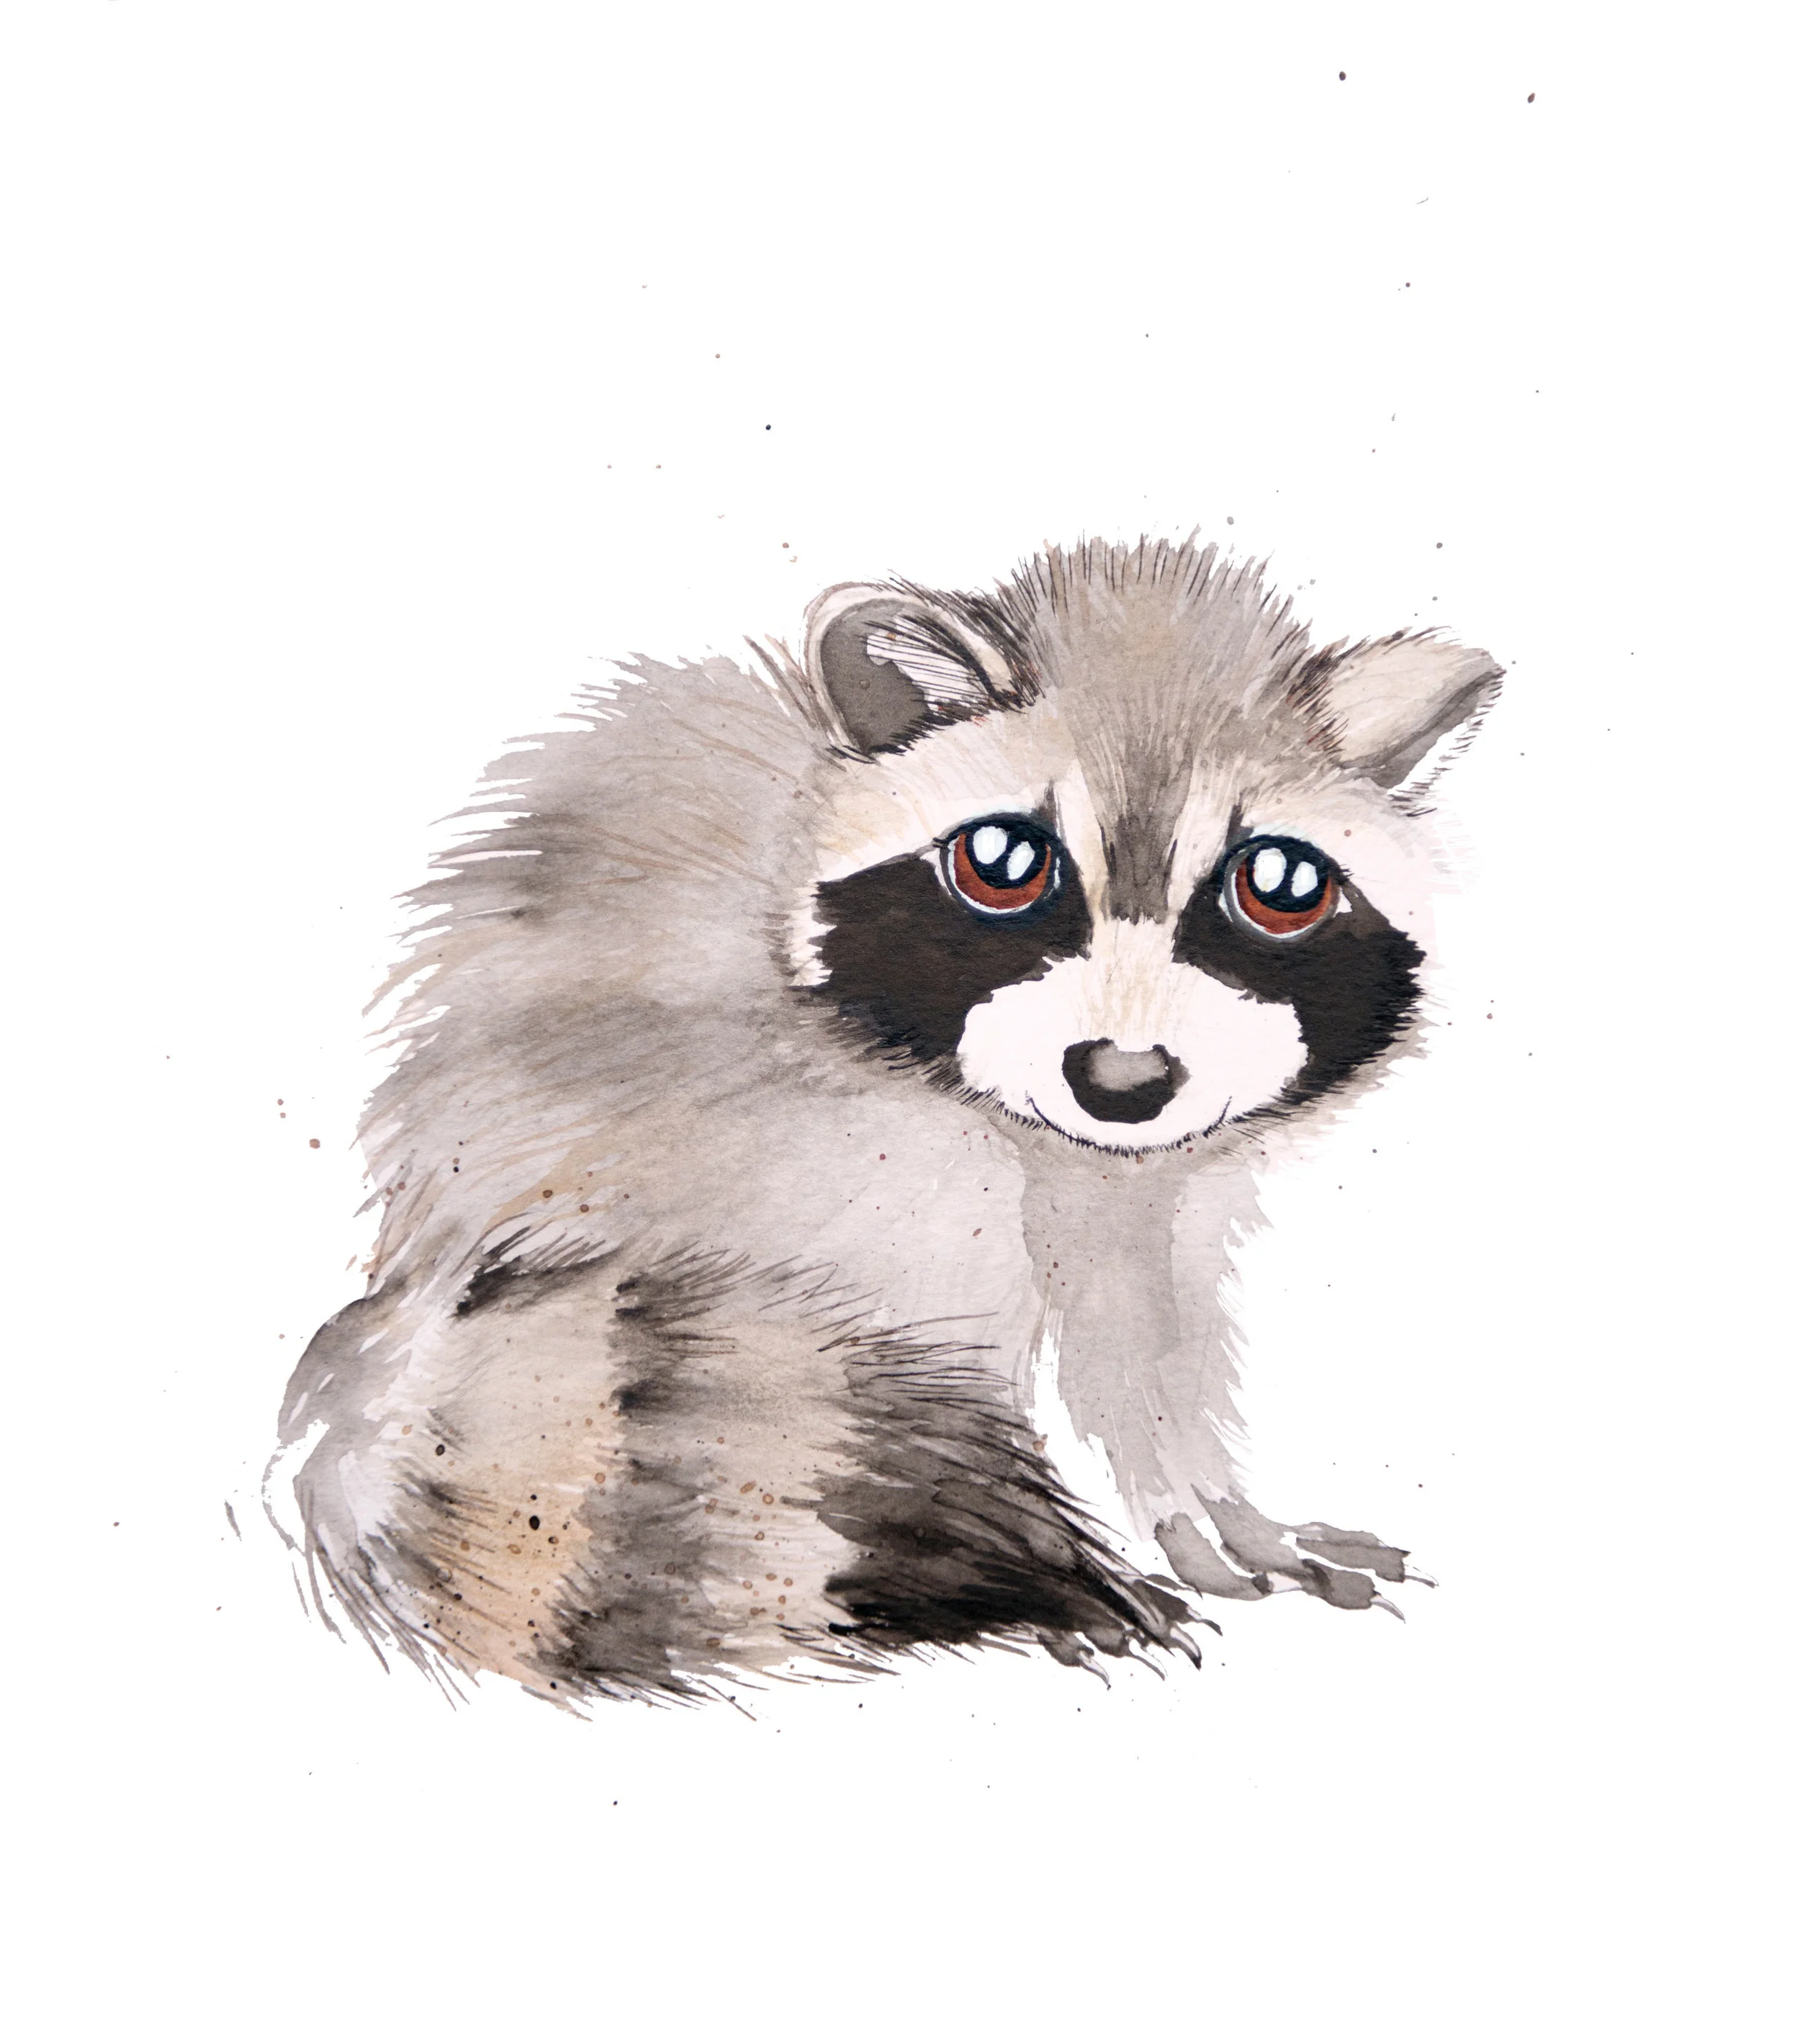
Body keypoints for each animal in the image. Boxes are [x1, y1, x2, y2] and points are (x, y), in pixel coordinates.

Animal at [275, 537, 1500, 1704]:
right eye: (1003, 863)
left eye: (1279, 885)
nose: (1121, 1078)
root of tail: (400, 1312)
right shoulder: (821, 1133)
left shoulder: (1144, 1179)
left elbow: (1146, 1329)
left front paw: (1203, 1506)